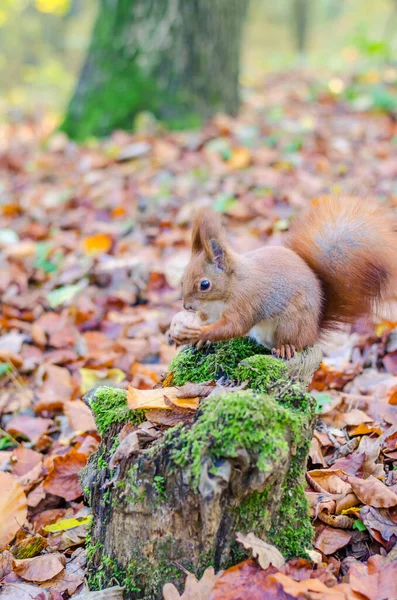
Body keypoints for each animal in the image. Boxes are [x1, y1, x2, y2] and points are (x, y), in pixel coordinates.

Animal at [173, 197, 396, 358]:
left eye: (204, 284)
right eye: (182, 280)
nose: (186, 306)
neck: (231, 286)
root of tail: (314, 330)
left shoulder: (246, 301)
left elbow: (235, 326)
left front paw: (199, 333)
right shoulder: (212, 312)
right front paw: (197, 334)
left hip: (291, 323)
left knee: (295, 343)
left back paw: (285, 348)